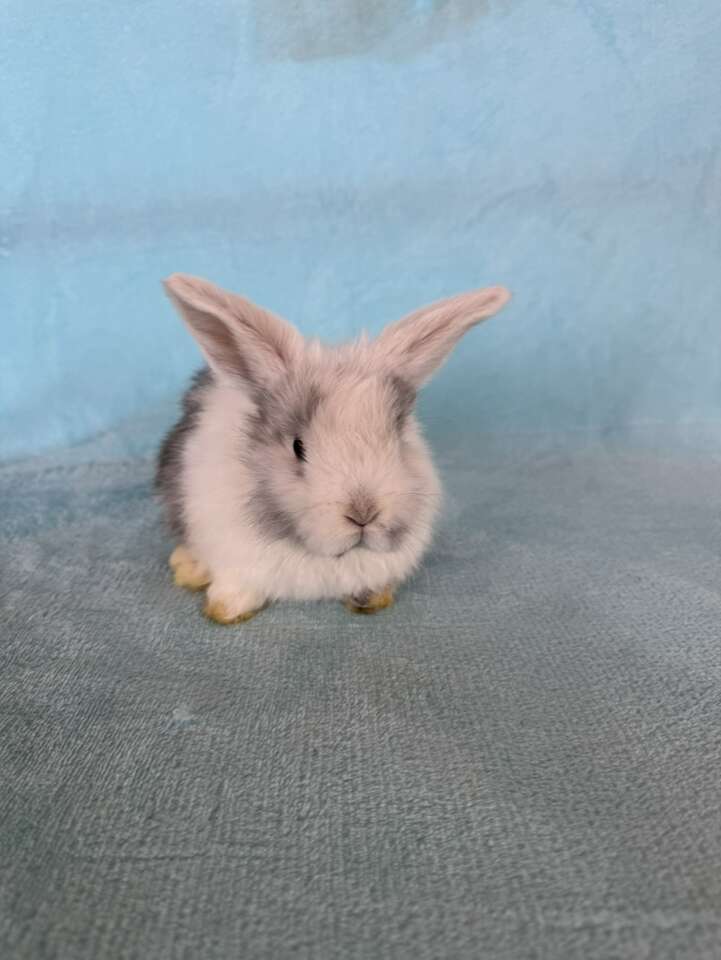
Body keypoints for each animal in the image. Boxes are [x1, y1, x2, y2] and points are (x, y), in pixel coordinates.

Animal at [155, 274, 510, 628]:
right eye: (298, 447)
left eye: (397, 438)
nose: (363, 514)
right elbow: (236, 584)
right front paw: (227, 608)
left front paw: (370, 599)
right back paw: (188, 569)